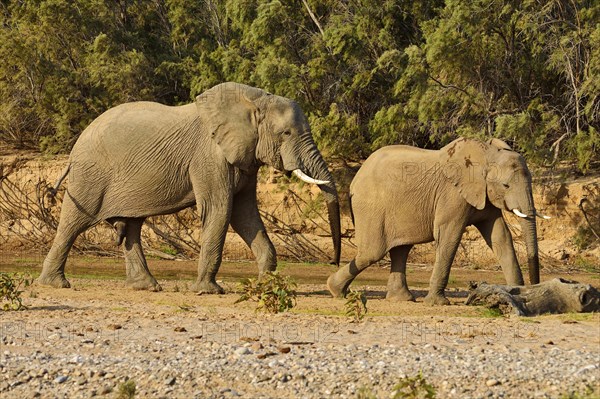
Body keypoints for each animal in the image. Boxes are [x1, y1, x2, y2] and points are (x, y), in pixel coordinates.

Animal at [37, 81, 340, 294]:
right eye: (285, 134)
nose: (334, 264)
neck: (254, 101)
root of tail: (75, 148)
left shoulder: (245, 158)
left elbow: (245, 216)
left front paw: (266, 285)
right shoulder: (209, 157)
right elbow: (220, 210)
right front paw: (208, 291)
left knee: (132, 226)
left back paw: (147, 287)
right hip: (91, 176)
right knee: (73, 223)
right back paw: (55, 284)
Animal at [326, 138, 548, 306]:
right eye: (505, 185)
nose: (534, 285)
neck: (486, 154)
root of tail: (355, 178)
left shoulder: (484, 194)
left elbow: (500, 237)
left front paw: (516, 292)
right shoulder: (452, 194)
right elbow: (449, 235)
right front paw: (437, 303)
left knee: (400, 250)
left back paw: (402, 299)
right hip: (371, 207)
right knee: (372, 252)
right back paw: (336, 290)